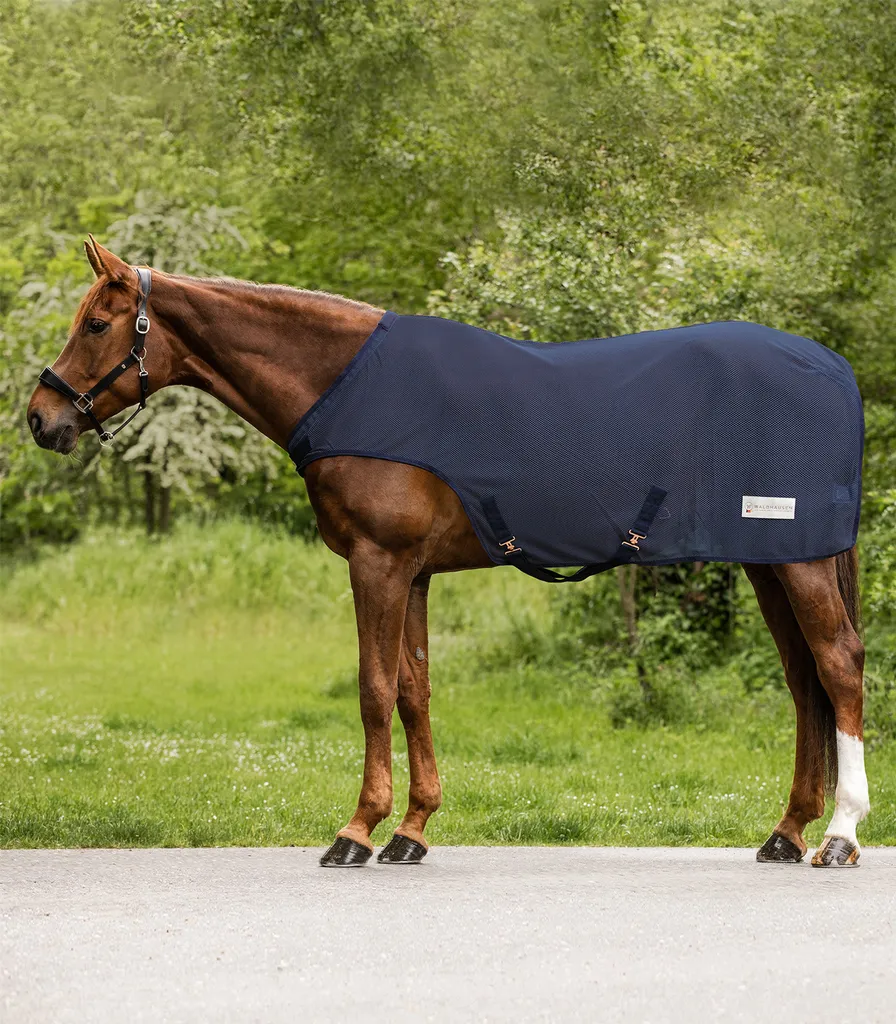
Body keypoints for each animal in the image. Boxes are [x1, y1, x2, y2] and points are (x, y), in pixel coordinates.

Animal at [27, 238, 870, 868]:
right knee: (804, 683)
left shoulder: (378, 564)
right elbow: (413, 690)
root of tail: (832, 367)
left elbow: (372, 689)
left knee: (837, 667)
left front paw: (356, 829)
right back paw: (786, 832)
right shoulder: (415, 573)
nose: (39, 418)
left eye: (97, 324)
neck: (349, 390)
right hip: (769, 562)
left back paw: (838, 835)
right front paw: (411, 830)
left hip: (798, 562)